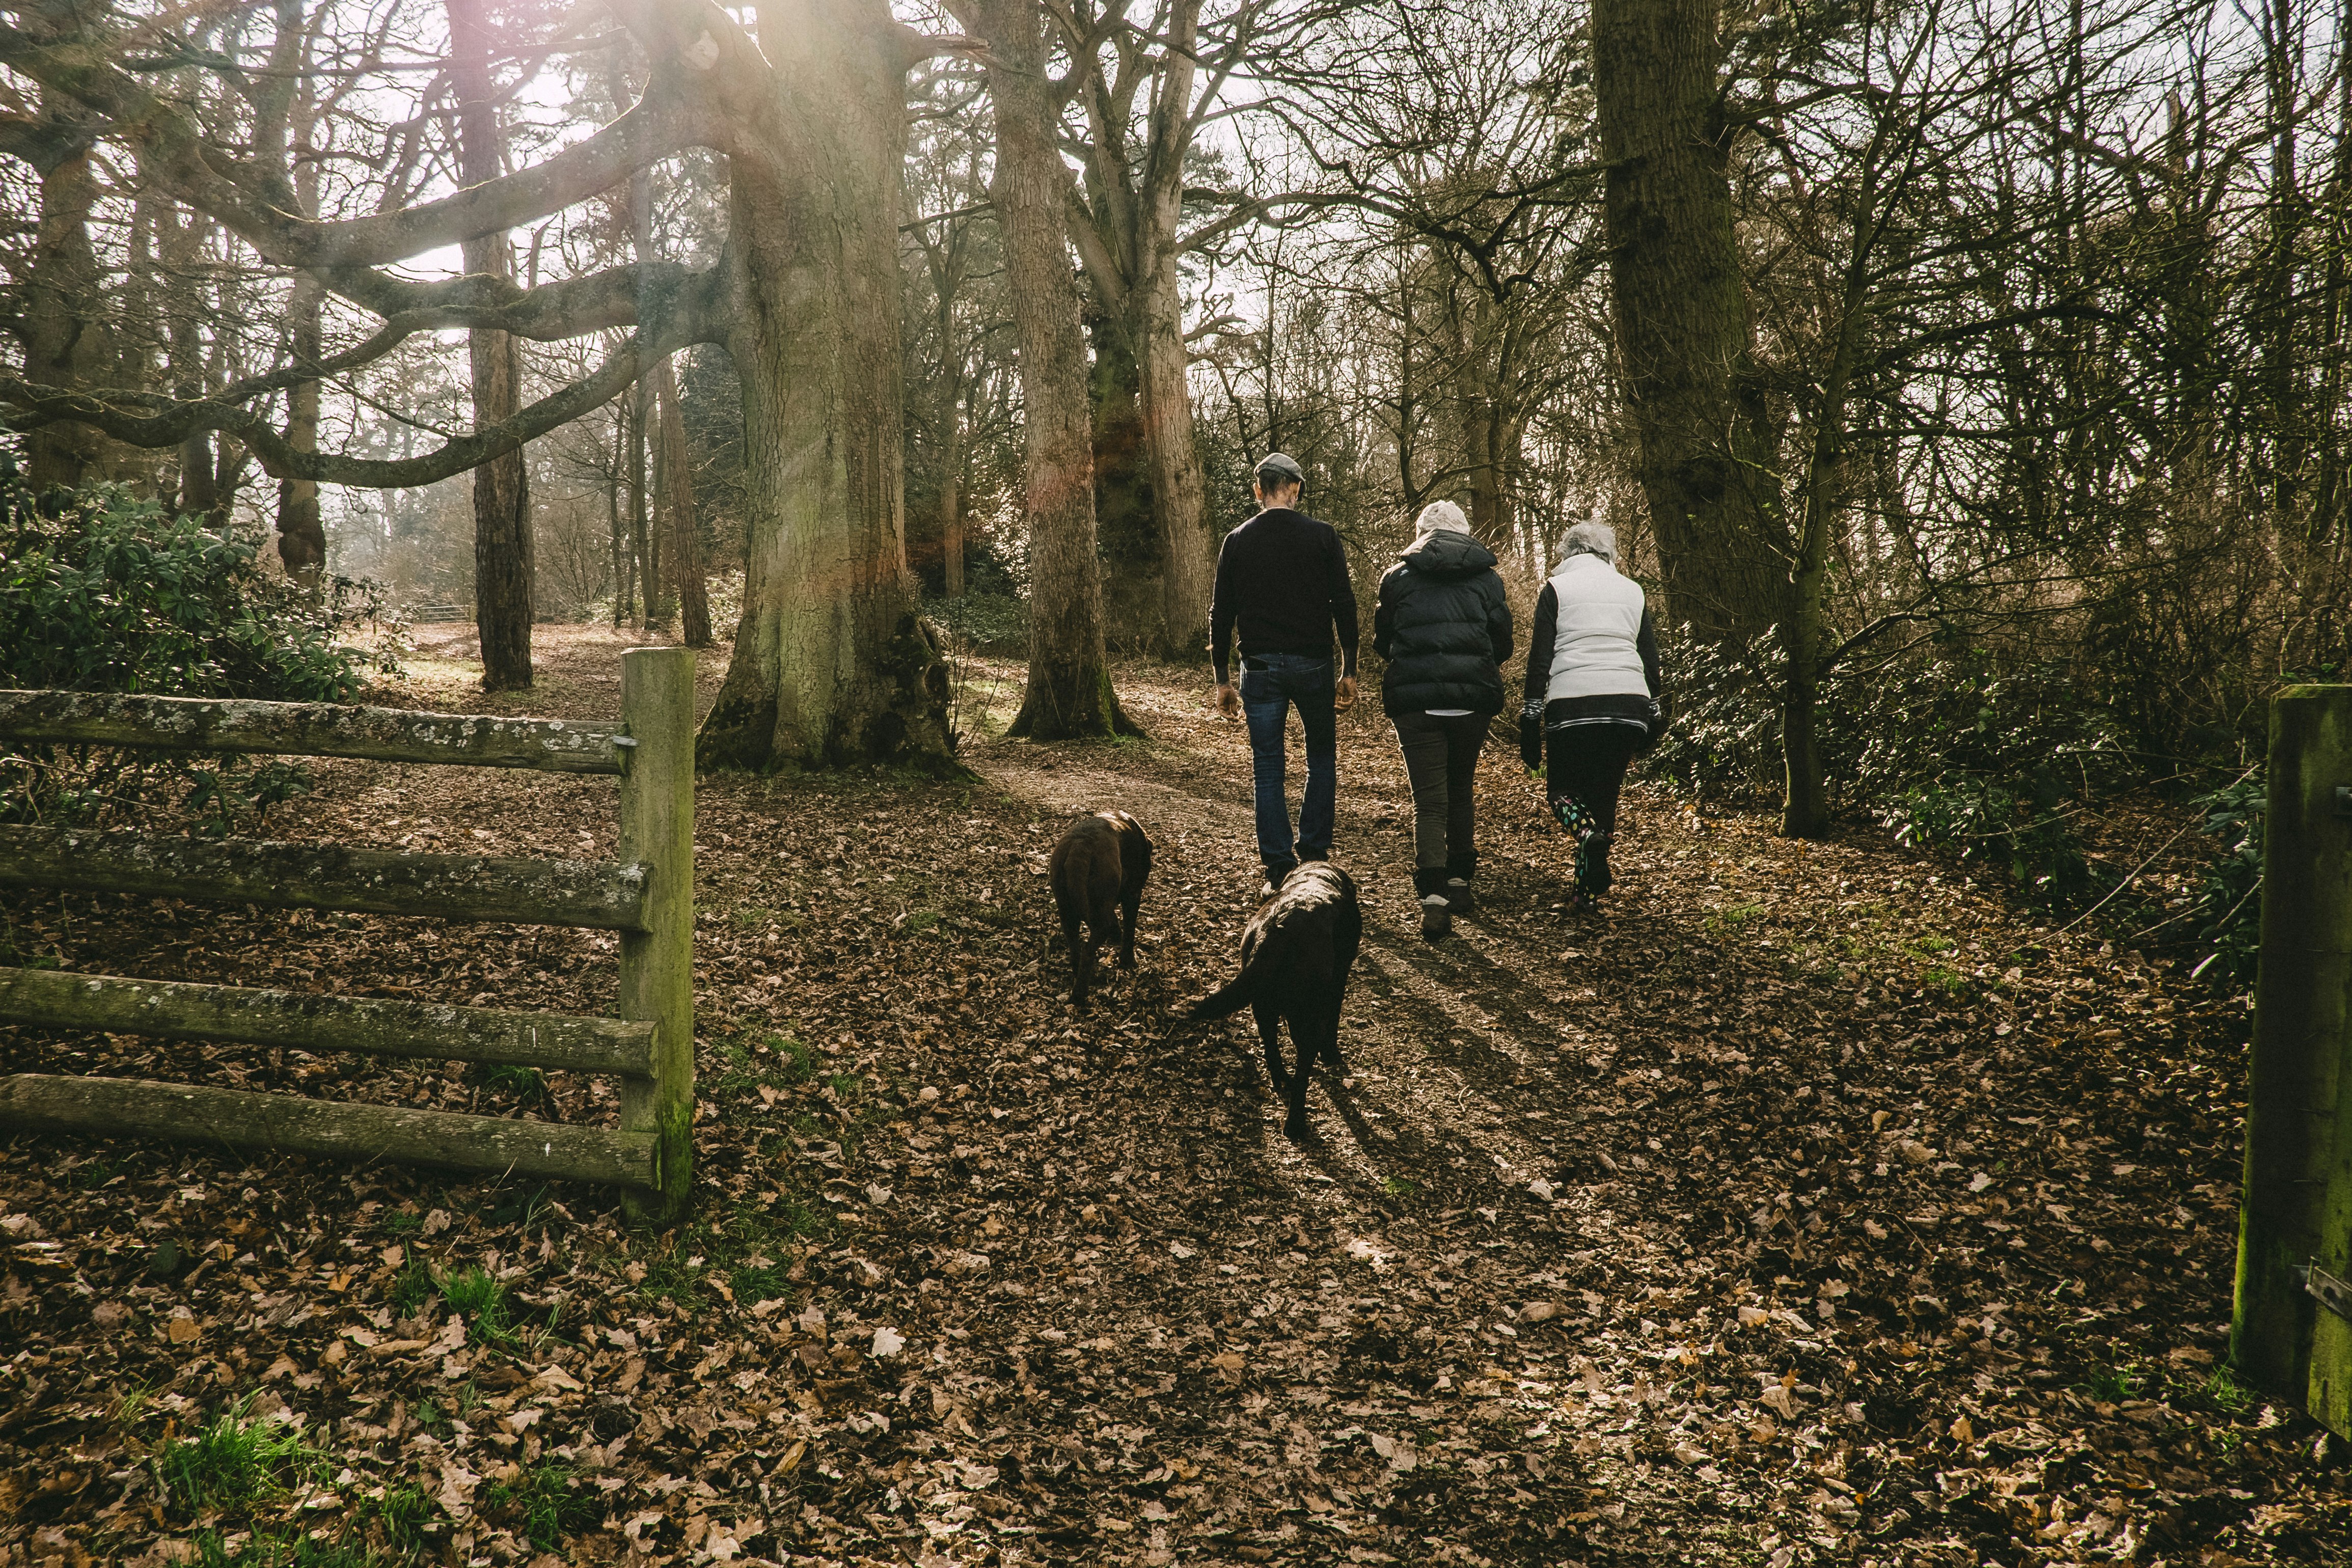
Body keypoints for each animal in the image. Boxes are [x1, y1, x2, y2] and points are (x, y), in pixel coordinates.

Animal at [1049, 808, 1157, 1006]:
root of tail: (1078, 847)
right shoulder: (1133, 894)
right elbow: (1130, 930)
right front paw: (1127, 960)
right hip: (1098, 918)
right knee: (1088, 950)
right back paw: (1080, 994)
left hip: (1067, 912)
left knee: (1075, 945)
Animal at [1194, 865, 1364, 1147]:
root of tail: (1277, 930)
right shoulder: (1338, 982)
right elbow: (1333, 1024)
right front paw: (1330, 1056)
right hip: (1307, 1013)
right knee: (1302, 1071)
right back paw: (1295, 1124)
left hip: (1263, 1006)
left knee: (1271, 1047)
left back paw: (1281, 1080)